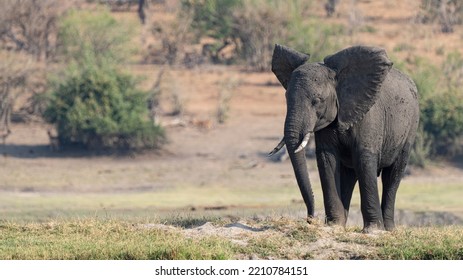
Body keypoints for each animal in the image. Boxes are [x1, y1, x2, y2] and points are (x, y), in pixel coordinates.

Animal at [268, 43, 420, 232]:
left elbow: (364, 158)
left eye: (317, 101)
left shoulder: (369, 115)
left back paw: (389, 229)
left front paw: (372, 230)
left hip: (411, 125)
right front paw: (334, 225)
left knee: (392, 175)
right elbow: (327, 159)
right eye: (286, 98)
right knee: (349, 177)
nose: (310, 219)